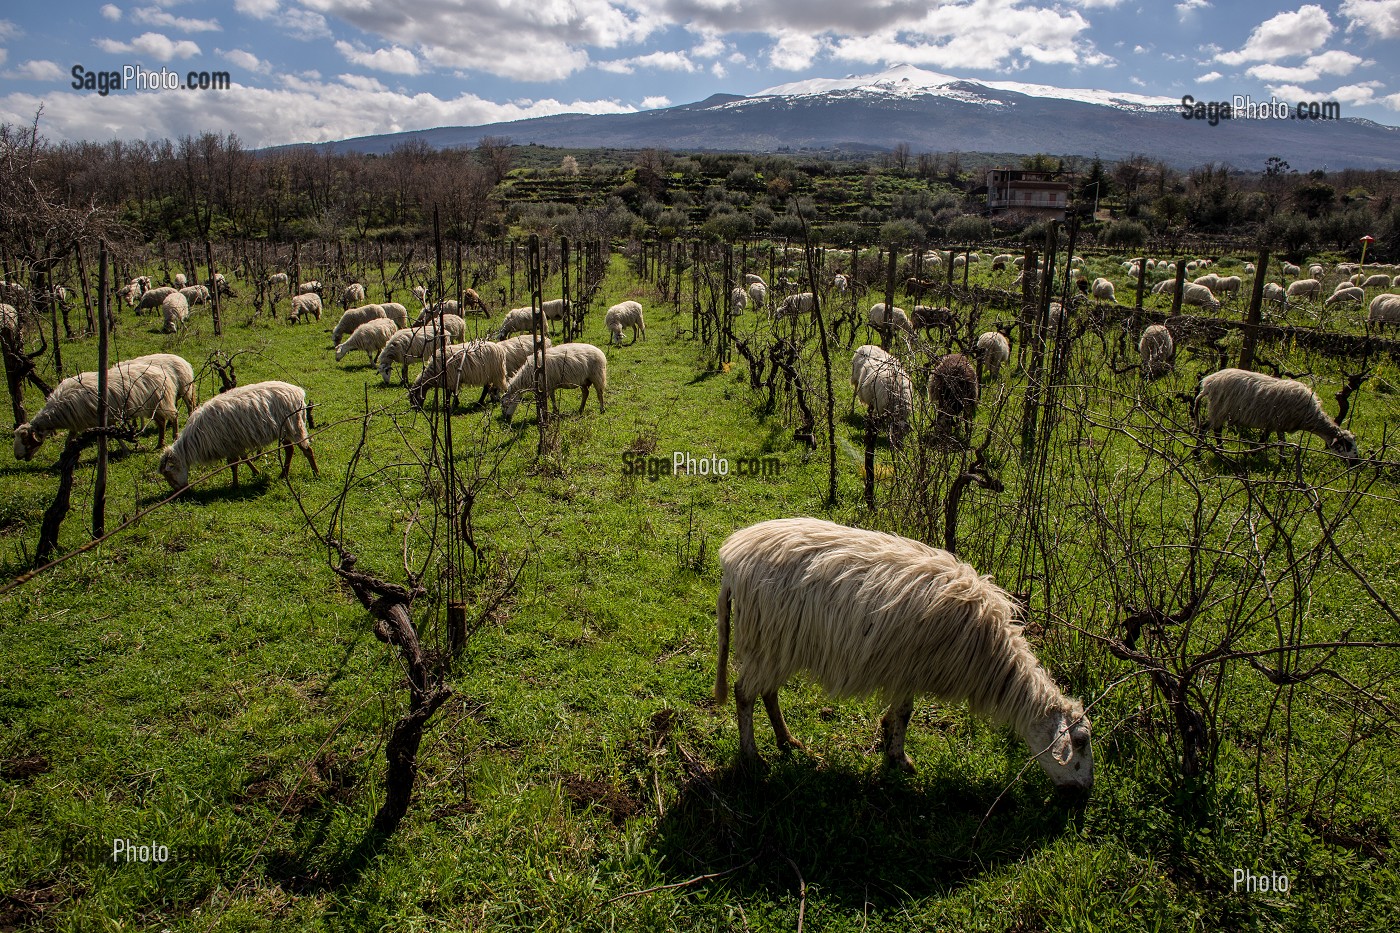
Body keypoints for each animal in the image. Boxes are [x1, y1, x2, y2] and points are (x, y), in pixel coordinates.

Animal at [14, 358, 179, 462]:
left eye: (26, 440)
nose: (17, 457)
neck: (59, 408)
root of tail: (161, 371)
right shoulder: (77, 424)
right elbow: (68, 440)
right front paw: (63, 457)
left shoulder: (101, 420)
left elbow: (110, 437)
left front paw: (122, 452)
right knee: (162, 422)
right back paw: (161, 443)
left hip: (159, 403)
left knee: (171, 418)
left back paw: (169, 439)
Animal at [158, 381, 317, 490]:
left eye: (169, 475)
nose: (182, 493)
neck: (194, 441)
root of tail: (298, 392)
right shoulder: (236, 443)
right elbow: (244, 459)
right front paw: (255, 472)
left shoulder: (230, 444)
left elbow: (234, 464)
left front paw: (234, 485)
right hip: (284, 430)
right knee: (289, 450)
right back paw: (283, 475)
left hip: (294, 425)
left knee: (307, 450)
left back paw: (315, 473)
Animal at [716, 515, 1097, 784]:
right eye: (1081, 741)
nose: (1084, 795)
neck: (992, 660)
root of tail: (732, 558)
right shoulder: (909, 667)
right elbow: (905, 714)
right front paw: (900, 759)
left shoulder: (906, 669)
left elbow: (899, 713)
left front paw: (889, 744)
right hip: (766, 639)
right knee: (744, 694)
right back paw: (751, 755)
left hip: (777, 644)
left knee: (767, 692)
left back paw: (787, 741)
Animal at [1192, 364, 1355, 456]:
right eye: (1347, 445)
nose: (1356, 462)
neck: (1309, 417)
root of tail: (1208, 383)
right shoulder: (1278, 422)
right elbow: (1276, 441)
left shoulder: (1274, 424)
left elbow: (1272, 440)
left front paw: (1257, 454)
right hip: (1220, 408)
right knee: (1207, 428)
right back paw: (1201, 453)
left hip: (1221, 410)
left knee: (1214, 429)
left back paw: (1218, 450)